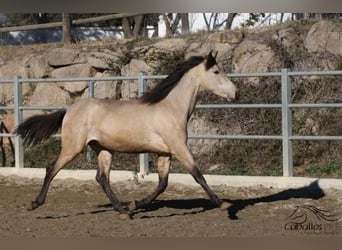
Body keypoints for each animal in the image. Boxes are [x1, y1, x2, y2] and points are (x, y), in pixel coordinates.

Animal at [15, 51, 238, 219]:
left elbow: (162, 184)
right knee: (52, 169)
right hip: (73, 147)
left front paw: (135, 204)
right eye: (216, 71)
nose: (235, 93)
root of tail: (69, 110)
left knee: (102, 178)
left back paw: (123, 211)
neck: (171, 108)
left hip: (103, 149)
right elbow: (197, 174)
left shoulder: (165, 153)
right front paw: (223, 204)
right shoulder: (179, 148)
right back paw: (35, 203)